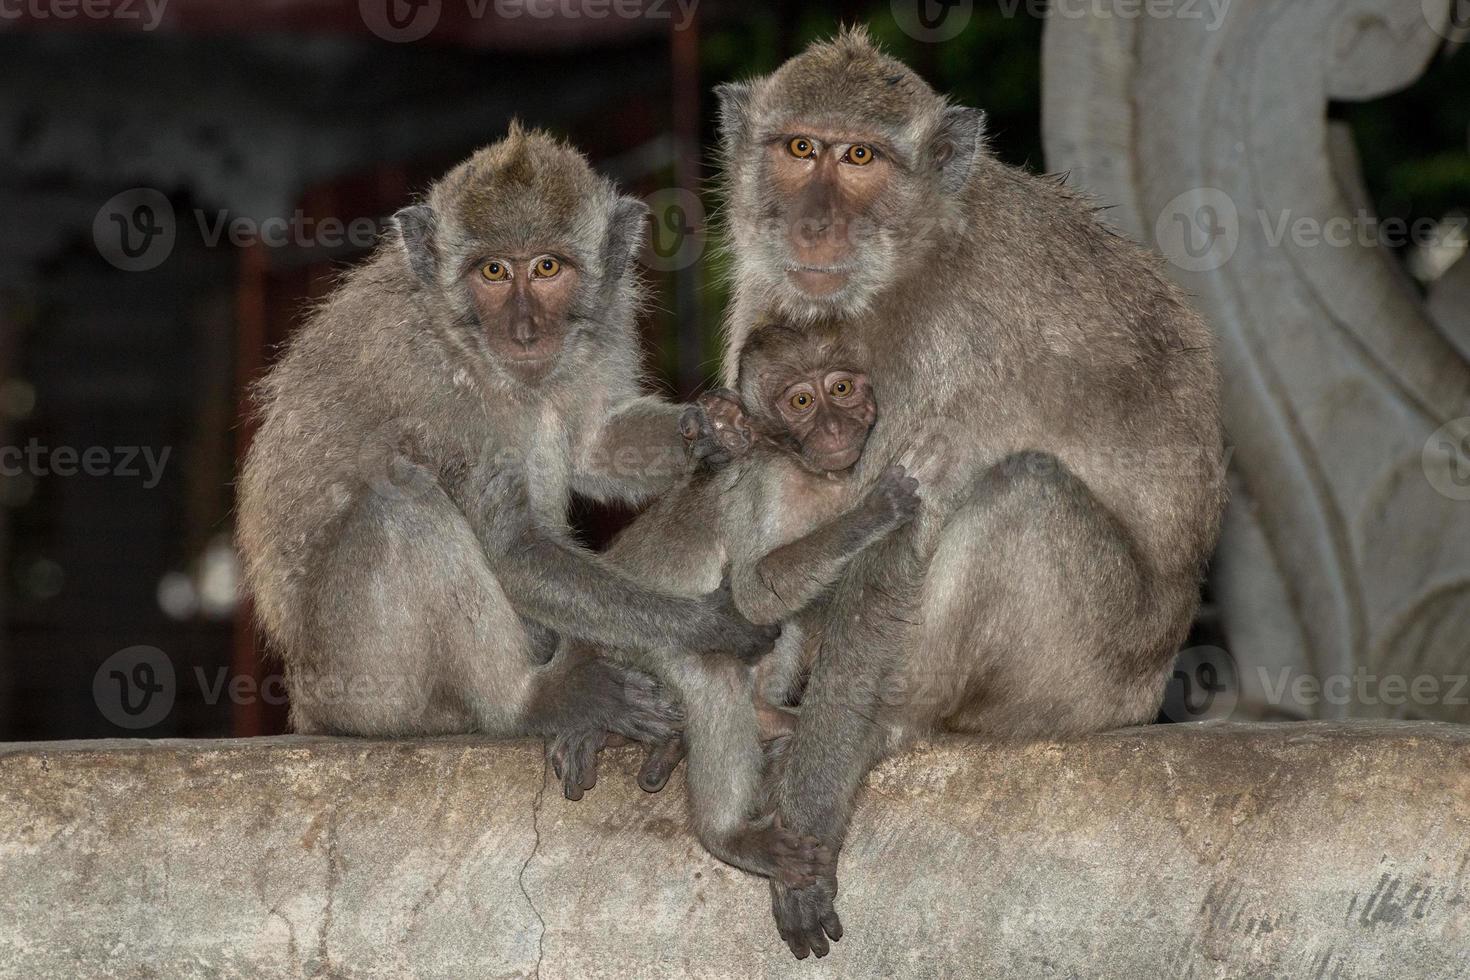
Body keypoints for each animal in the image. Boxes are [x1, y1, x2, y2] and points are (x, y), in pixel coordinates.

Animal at [596, 327, 917, 887]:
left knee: (781, 626)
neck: (811, 473)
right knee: (713, 667)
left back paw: (767, 715)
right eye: (802, 402)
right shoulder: (767, 488)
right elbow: (752, 591)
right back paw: (726, 835)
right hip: (632, 654)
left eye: (840, 389)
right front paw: (874, 514)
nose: (834, 426)